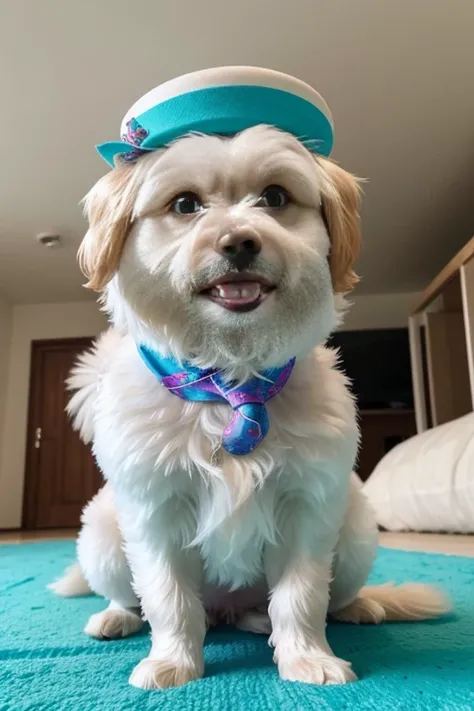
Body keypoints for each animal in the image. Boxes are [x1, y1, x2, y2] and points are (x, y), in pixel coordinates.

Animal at [51, 126, 448, 688]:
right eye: (185, 204)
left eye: (276, 197)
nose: (239, 241)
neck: (229, 381)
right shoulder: (155, 511)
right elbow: (169, 599)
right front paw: (173, 663)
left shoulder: (307, 505)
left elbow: (302, 596)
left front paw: (308, 658)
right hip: (103, 535)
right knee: (135, 597)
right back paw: (115, 618)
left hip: (355, 530)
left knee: (324, 597)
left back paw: (346, 609)